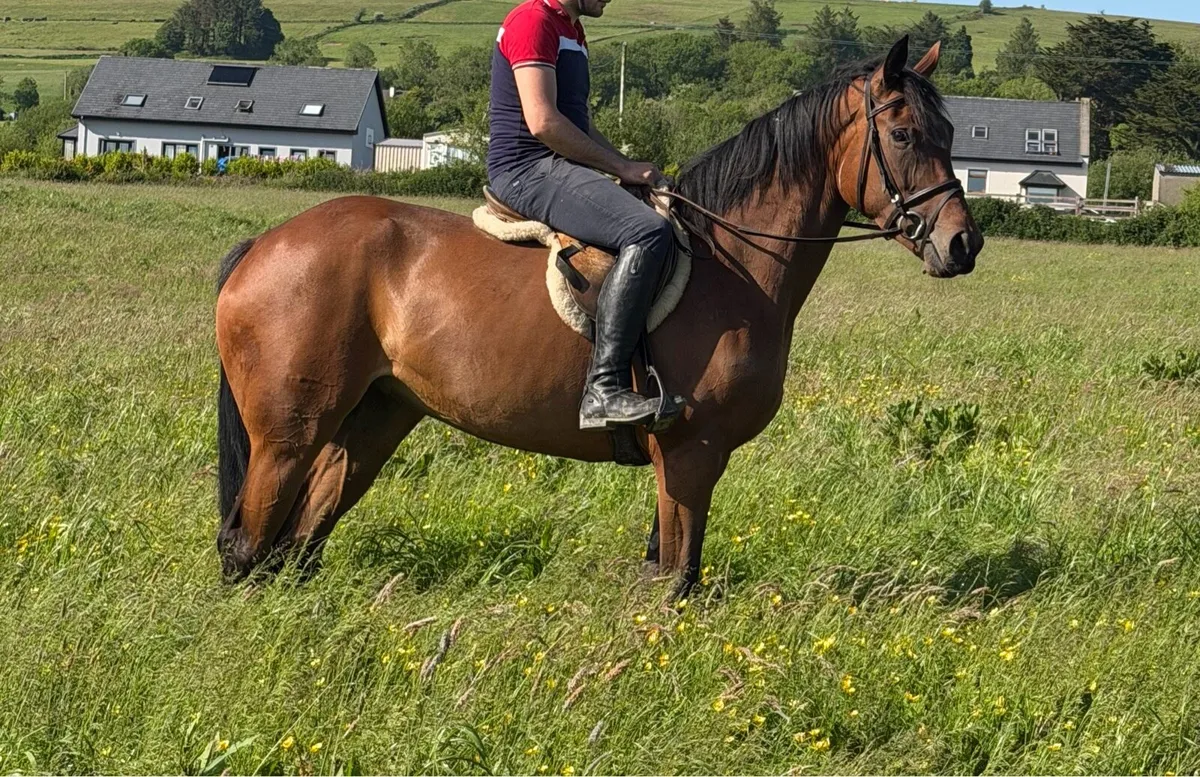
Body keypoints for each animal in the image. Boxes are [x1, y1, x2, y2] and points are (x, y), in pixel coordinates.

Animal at [213, 37, 983, 594]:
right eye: (906, 135)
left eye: (950, 132)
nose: (963, 244)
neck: (733, 264)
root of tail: (268, 243)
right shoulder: (692, 452)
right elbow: (677, 580)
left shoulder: (686, 461)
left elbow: (668, 570)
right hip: (288, 435)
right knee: (251, 543)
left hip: (375, 416)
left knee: (299, 541)